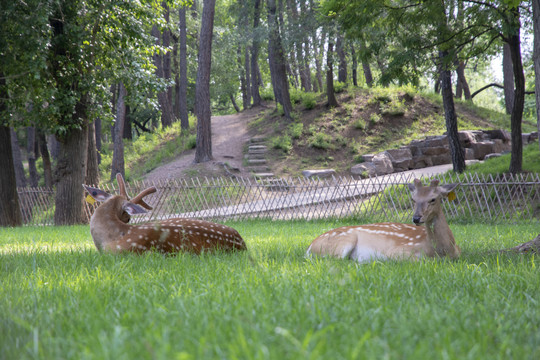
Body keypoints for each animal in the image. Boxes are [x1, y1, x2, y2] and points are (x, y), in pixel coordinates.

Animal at [306, 179, 462, 262]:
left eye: (433, 199)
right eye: (413, 199)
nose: (416, 218)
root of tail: (310, 247)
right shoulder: (397, 252)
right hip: (342, 242)